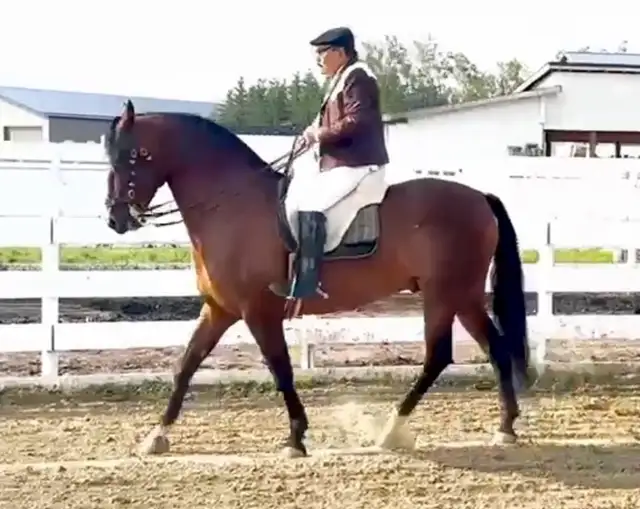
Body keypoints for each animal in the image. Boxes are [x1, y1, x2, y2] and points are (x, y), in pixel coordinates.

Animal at [105, 99, 536, 458]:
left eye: (133, 155)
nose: (115, 219)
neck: (231, 204)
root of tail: (479, 197)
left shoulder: (258, 311)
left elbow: (280, 369)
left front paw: (295, 438)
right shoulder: (219, 309)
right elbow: (185, 366)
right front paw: (155, 436)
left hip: (444, 294)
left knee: (438, 356)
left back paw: (391, 430)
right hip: (463, 296)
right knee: (496, 349)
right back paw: (504, 429)